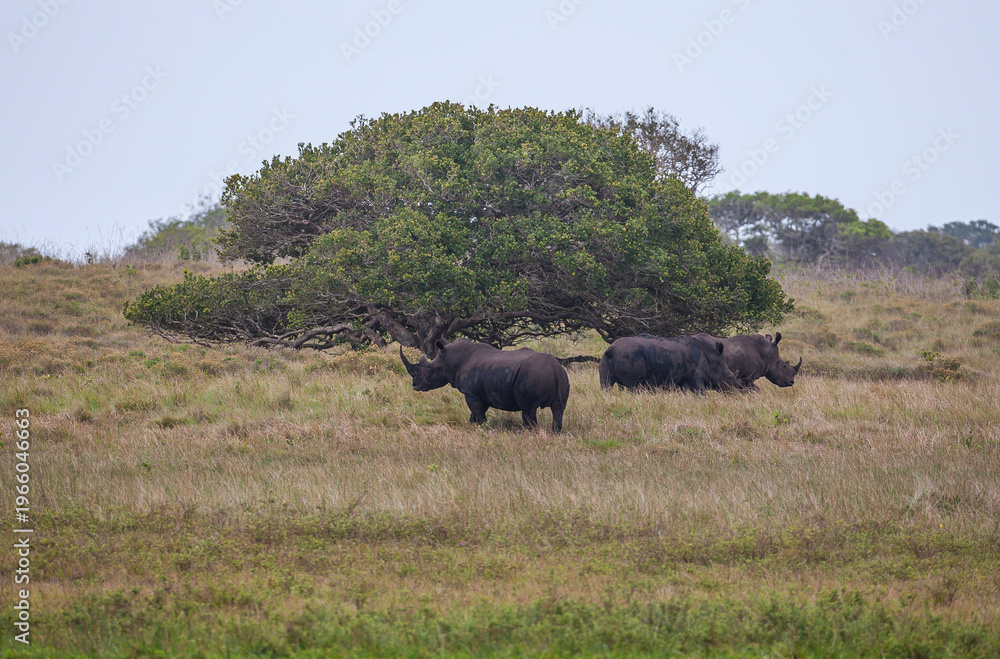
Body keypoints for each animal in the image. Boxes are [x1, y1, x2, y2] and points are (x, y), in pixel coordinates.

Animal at [400, 338, 570, 432]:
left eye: (429, 370)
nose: (414, 385)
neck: (450, 359)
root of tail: (555, 368)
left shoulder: (471, 393)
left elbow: (477, 412)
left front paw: (482, 428)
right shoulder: (481, 393)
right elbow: (475, 413)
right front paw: (471, 426)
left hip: (532, 375)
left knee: (528, 408)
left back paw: (524, 433)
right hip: (562, 376)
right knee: (558, 408)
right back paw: (555, 432)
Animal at [598, 334, 738, 393]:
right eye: (730, 377)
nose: (734, 391)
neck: (712, 356)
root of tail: (612, 349)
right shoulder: (696, 378)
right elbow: (701, 393)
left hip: (605, 358)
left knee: (605, 385)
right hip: (630, 356)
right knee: (633, 387)